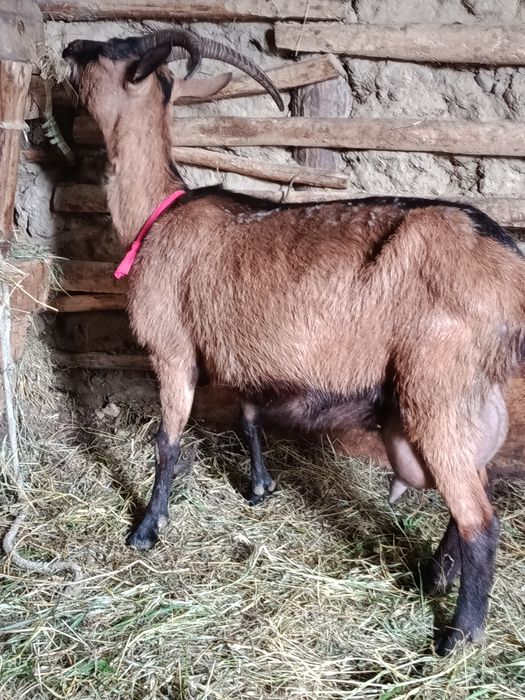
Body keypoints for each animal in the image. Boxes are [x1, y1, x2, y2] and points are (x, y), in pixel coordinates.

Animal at [63, 29, 525, 655]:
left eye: (111, 50)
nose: (67, 49)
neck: (156, 215)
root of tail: (508, 265)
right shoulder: (242, 348)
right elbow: (249, 415)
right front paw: (260, 488)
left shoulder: (172, 349)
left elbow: (167, 439)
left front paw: (146, 529)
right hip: (472, 396)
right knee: (473, 494)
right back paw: (432, 575)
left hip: (437, 389)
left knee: (480, 519)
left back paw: (455, 638)